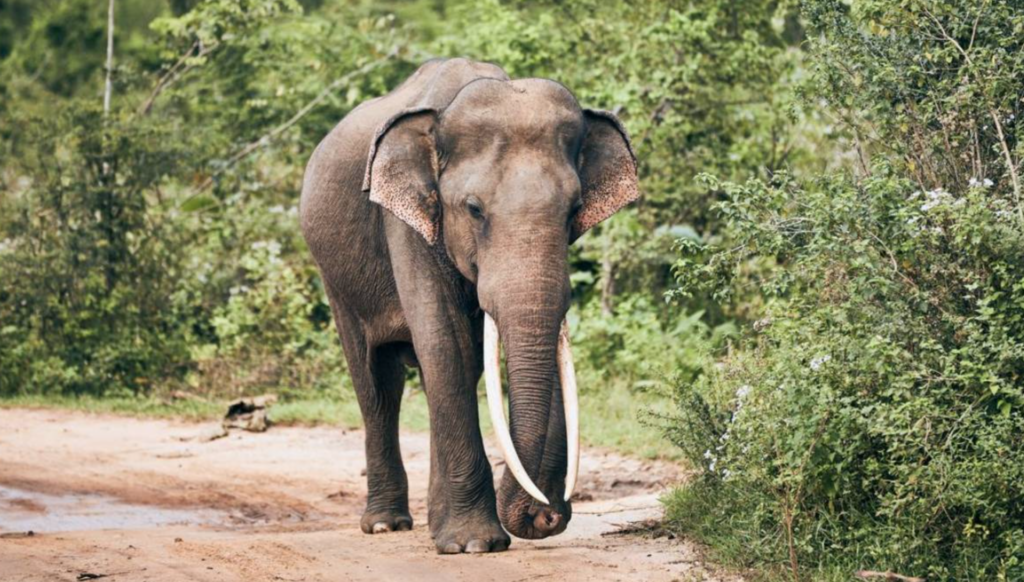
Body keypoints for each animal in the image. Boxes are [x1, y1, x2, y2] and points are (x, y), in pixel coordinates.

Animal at [299, 57, 638, 554]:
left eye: (574, 208)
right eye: (474, 209)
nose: (546, 515)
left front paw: (471, 537)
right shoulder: (407, 224)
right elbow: (446, 342)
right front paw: (474, 545)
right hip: (335, 276)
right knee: (376, 382)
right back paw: (385, 524)